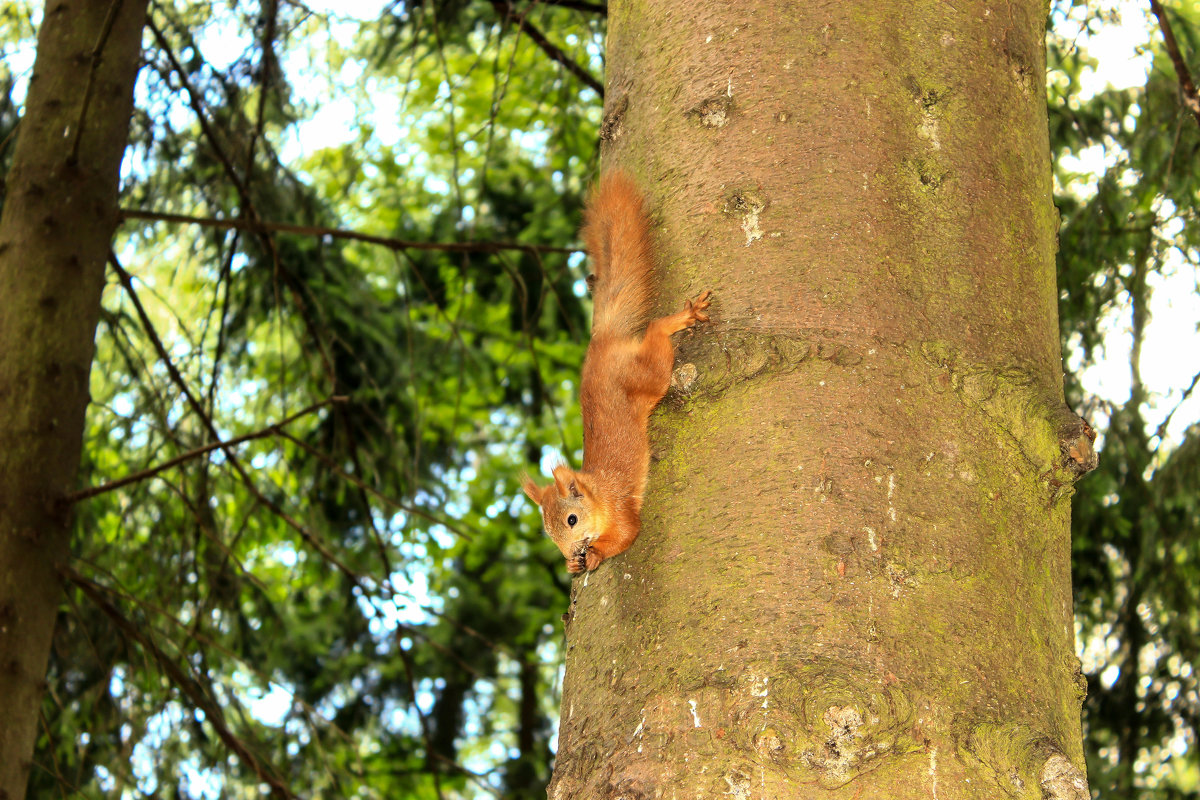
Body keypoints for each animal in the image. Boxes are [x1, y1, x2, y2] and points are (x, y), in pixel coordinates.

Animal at [520, 172, 705, 573]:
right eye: (548, 533)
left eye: (572, 519)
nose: (570, 554)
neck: (597, 493)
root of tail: (601, 340)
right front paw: (574, 566)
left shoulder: (619, 508)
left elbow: (626, 534)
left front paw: (595, 555)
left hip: (646, 375)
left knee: (655, 332)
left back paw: (680, 318)